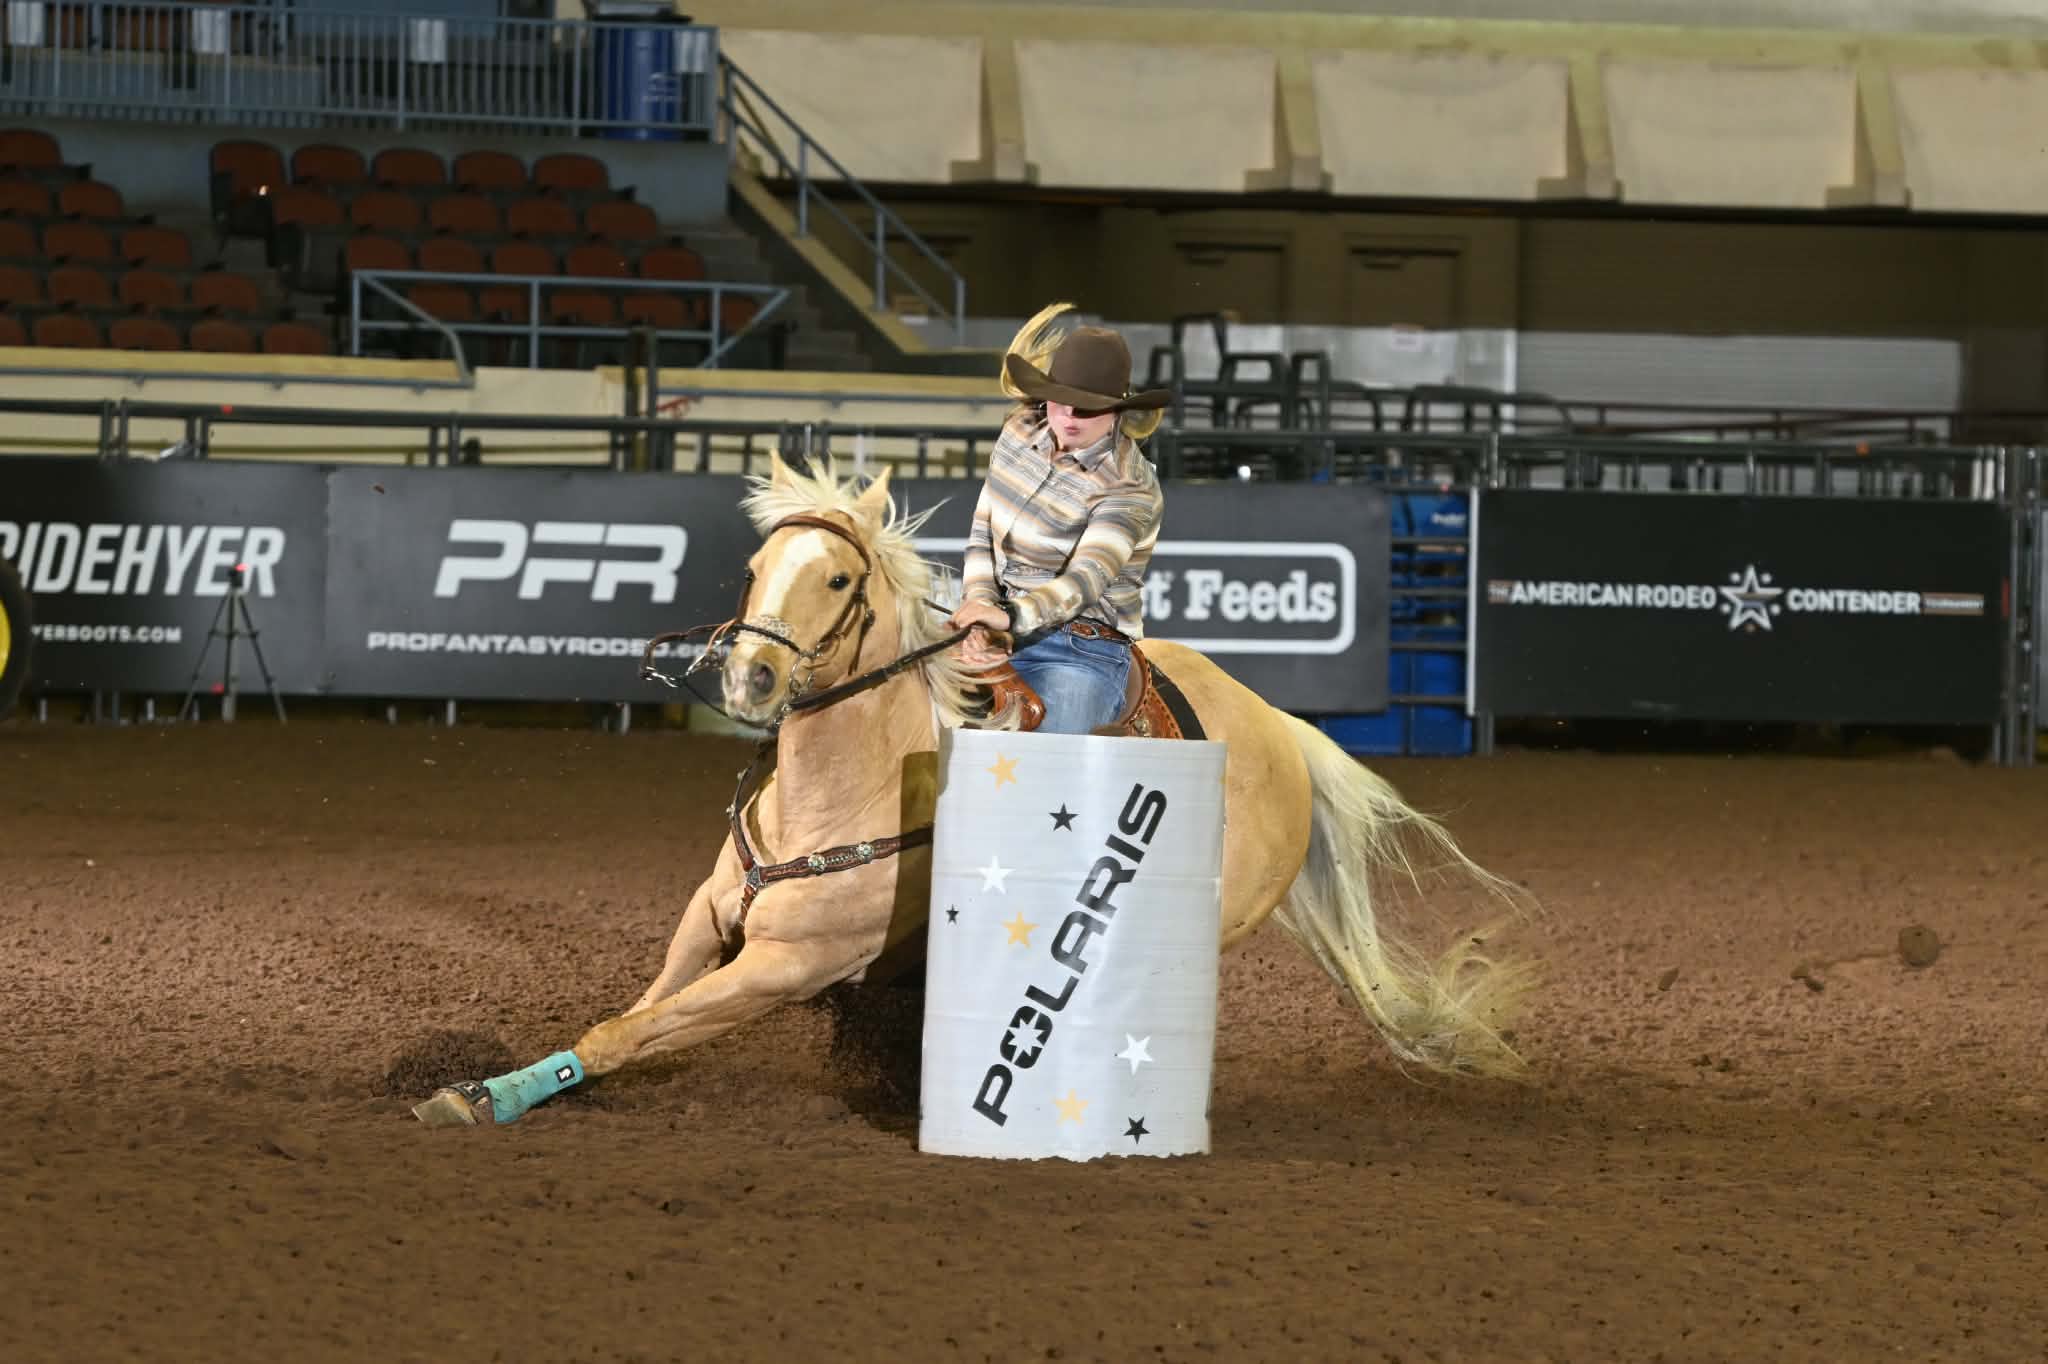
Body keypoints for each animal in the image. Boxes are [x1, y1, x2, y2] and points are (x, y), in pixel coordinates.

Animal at [412, 453, 1537, 1129]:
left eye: (836, 579)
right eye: (756, 565)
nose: (752, 680)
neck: (843, 795)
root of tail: (1283, 730)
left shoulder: (782, 965)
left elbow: (628, 1029)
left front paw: (490, 1097)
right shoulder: (712, 913)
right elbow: (637, 1008)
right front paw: (487, 1086)